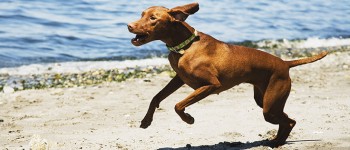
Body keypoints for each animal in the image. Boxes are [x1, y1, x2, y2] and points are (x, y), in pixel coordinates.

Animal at [128, 2, 328, 145]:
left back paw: (278, 142)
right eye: (141, 14)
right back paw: (277, 141)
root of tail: (285, 63)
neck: (186, 46)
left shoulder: (211, 84)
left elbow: (178, 105)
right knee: (287, 120)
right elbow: (156, 97)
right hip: (265, 100)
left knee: (289, 121)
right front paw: (146, 121)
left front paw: (188, 119)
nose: (129, 25)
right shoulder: (179, 79)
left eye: (153, 18)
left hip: (270, 105)